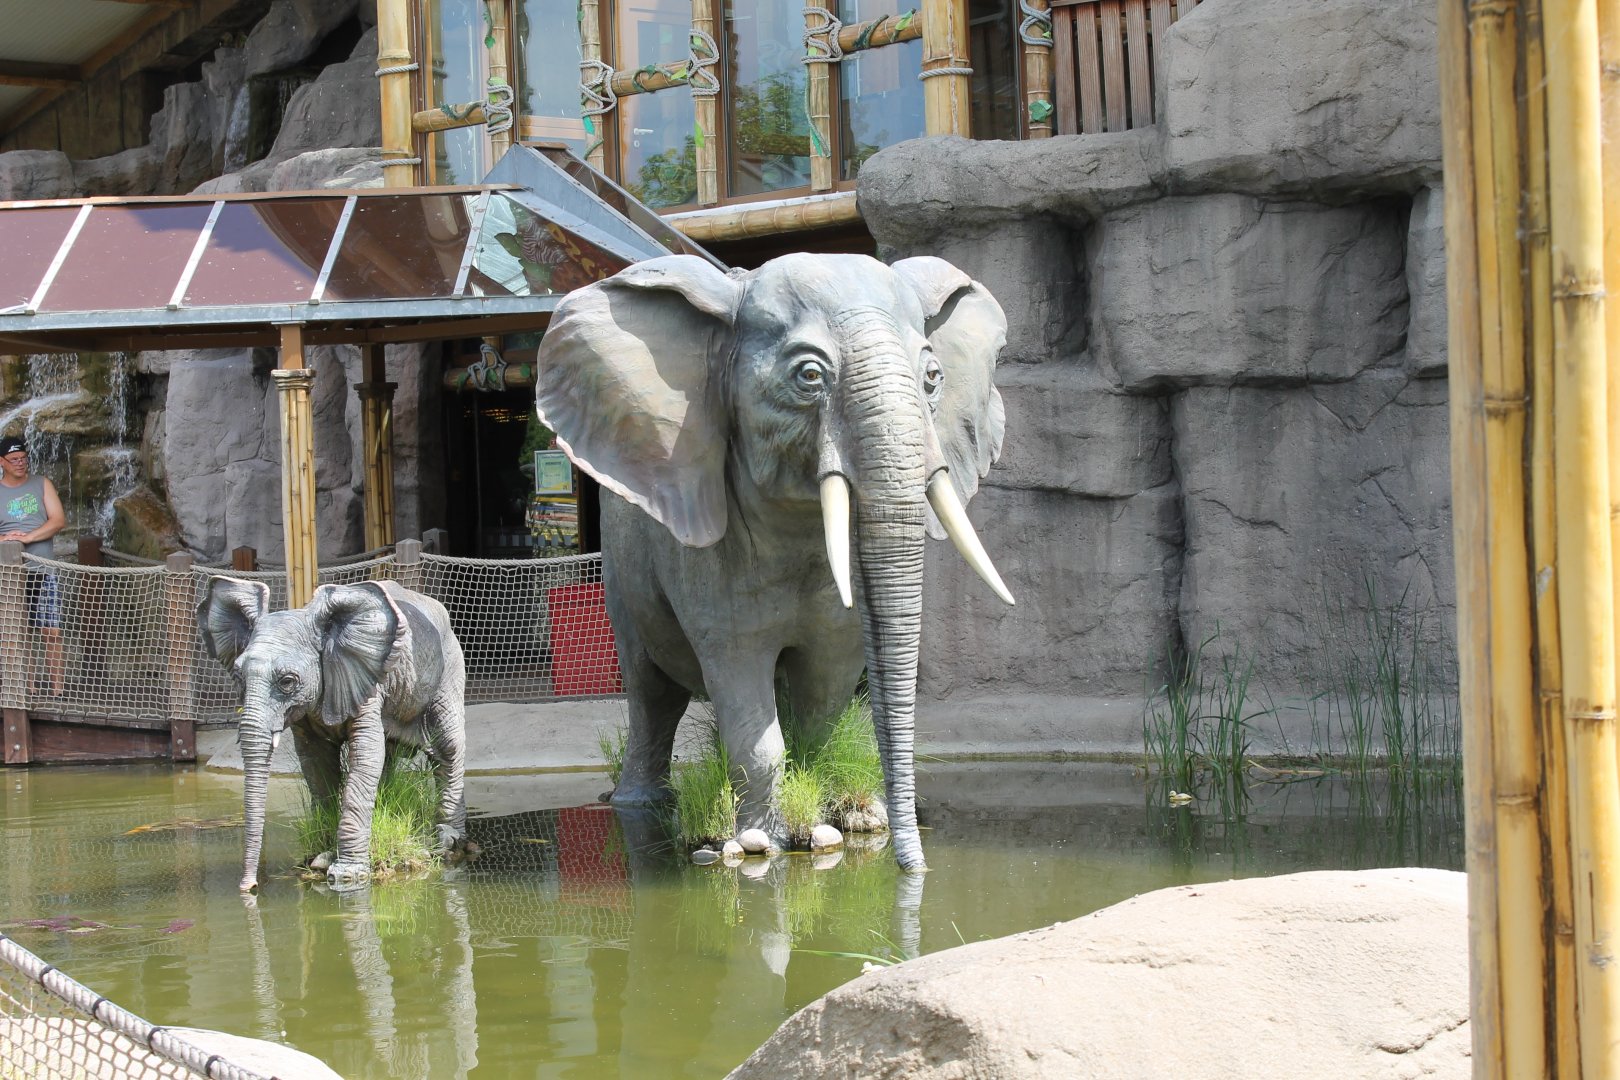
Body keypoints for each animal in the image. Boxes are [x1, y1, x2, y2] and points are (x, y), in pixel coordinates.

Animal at [197, 577, 469, 891]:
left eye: (287, 681)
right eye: (239, 677)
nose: (248, 887)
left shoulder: (366, 684)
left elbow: (365, 755)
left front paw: (347, 875)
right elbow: (315, 762)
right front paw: (321, 855)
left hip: (450, 666)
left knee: (448, 747)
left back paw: (448, 839)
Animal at [535, 251, 1013, 870]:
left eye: (933, 379)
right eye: (808, 376)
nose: (917, 870)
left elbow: (825, 684)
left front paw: (833, 822)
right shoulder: (708, 561)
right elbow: (739, 675)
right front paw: (760, 841)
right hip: (621, 566)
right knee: (651, 691)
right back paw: (640, 803)